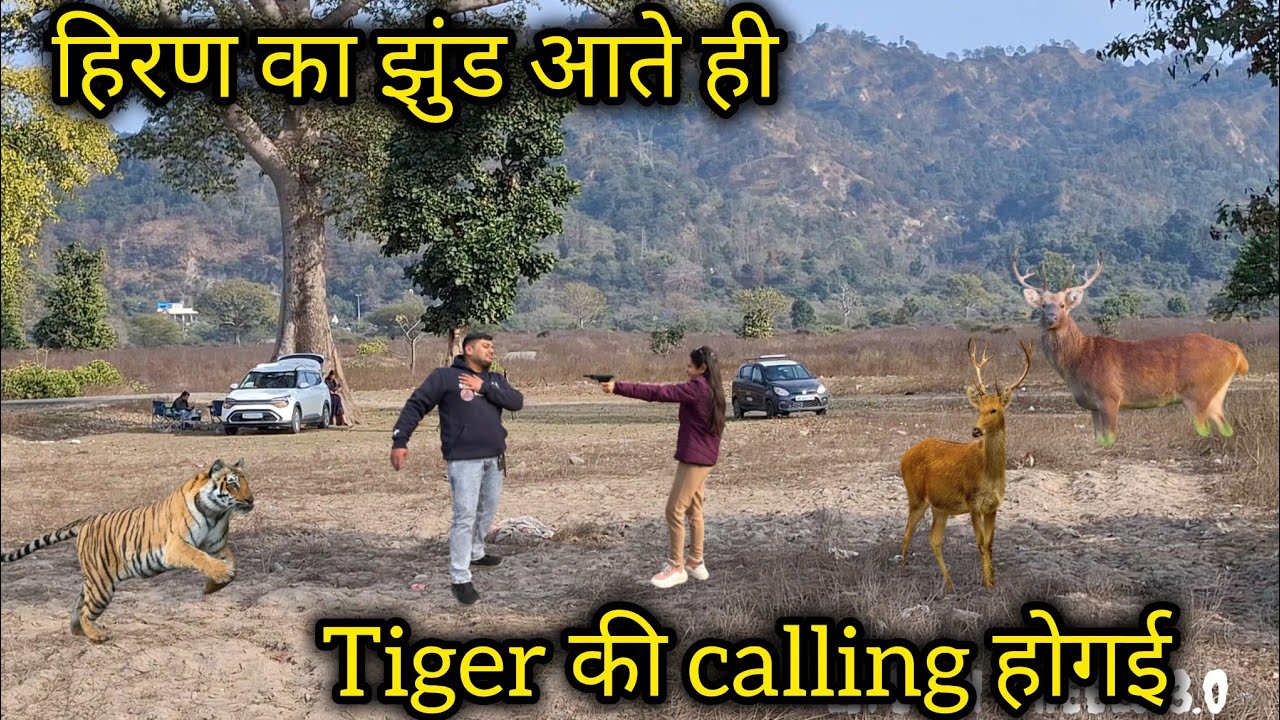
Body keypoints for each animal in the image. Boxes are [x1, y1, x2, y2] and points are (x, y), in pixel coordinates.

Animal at [0, 458, 255, 643]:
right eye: (233, 483)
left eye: (246, 483)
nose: (251, 501)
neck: (216, 513)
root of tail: (86, 521)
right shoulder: (177, 546)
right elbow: (200, 558)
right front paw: (220, 574)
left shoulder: (216, 545)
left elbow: (233, 564)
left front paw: (213, 585)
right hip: (102, 585)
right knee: (84, 610)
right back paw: (97, 636)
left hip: (95, 580)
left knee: (78, 603)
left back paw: (78, 631)